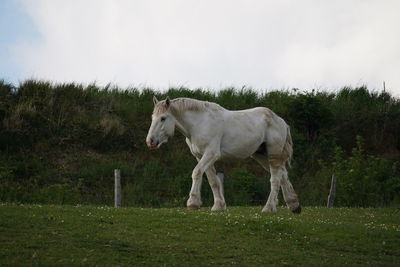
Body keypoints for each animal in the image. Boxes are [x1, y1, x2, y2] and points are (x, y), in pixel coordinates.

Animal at [146, 96, 300, 214]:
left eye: (163, 118)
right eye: (153, 117)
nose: (150, 141)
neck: (199, 123)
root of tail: (280, 120)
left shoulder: (211, 154)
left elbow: (196, 172)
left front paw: (193, 202)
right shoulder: (201, 156)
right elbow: (213, 181)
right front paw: (218, 206)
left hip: (273, 154)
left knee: (275, 179)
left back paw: (269, 208)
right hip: (261, 156)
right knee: (283, 175)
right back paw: (294, 205)